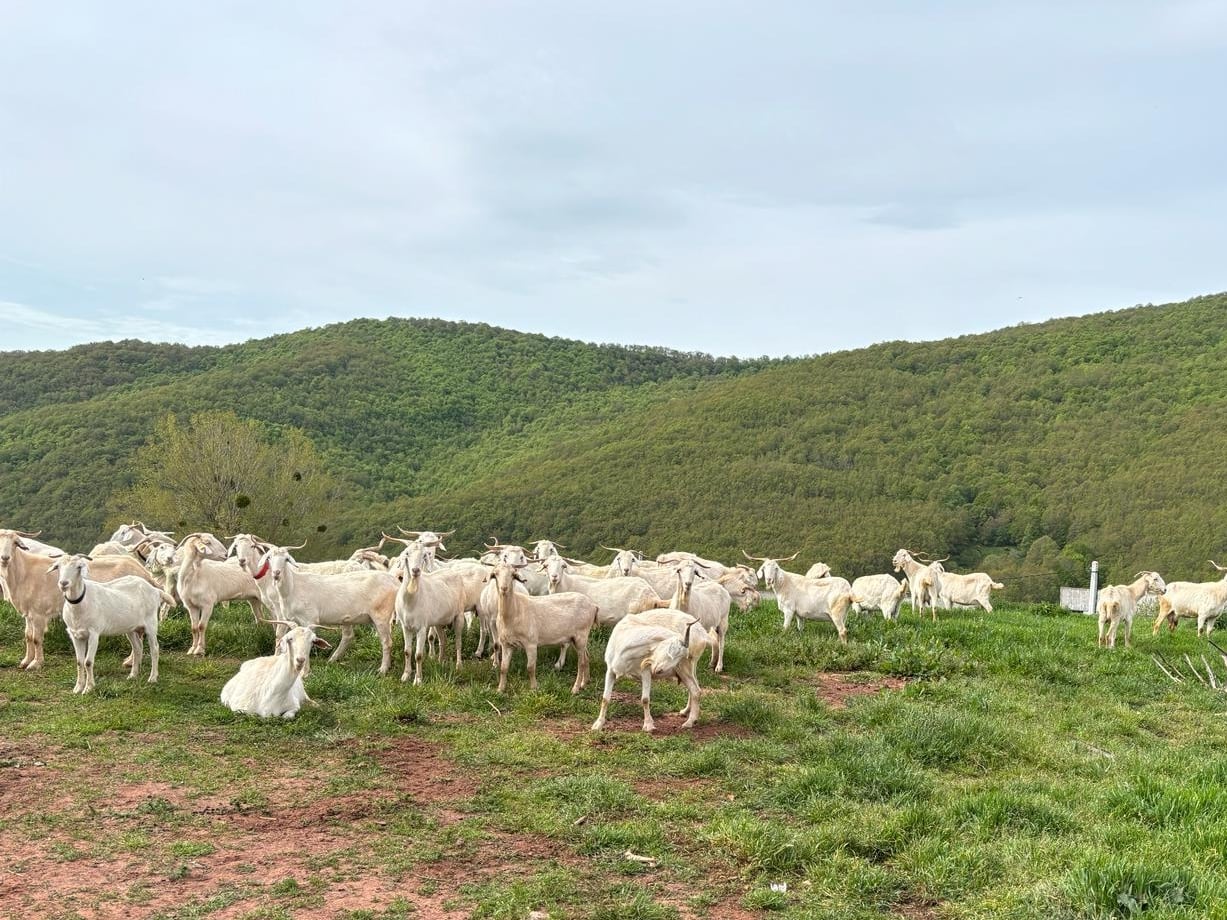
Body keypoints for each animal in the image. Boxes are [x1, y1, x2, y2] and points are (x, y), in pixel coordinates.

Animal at [50, 554, 171, 691]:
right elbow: (79, 662)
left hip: (151, 623)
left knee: (154, 648)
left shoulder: (94, 633)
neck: (80, 604)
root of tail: (155, 590)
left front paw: (89, 688)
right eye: (58, 566)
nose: (63, 583)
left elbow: (88, 662)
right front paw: (78, 688)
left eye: (79, 567)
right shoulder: (75, 635)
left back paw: (153, 678)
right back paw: (133, 675)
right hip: (131, 628)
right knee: (137, 648)